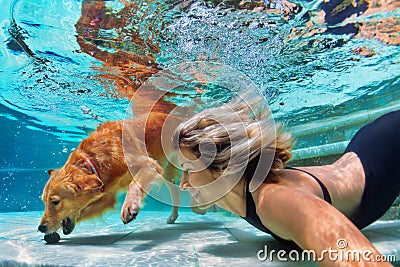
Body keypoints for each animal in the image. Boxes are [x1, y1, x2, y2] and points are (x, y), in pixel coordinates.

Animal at [37, 110, 202, 238]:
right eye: (43, 201)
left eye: (55, 202)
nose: (40, 228)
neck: (95, 160)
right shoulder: (107, 196)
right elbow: (85, 209)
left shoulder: (148, 165)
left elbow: (133, 184)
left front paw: (129, 206)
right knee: (175, 191)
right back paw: (174, 216)